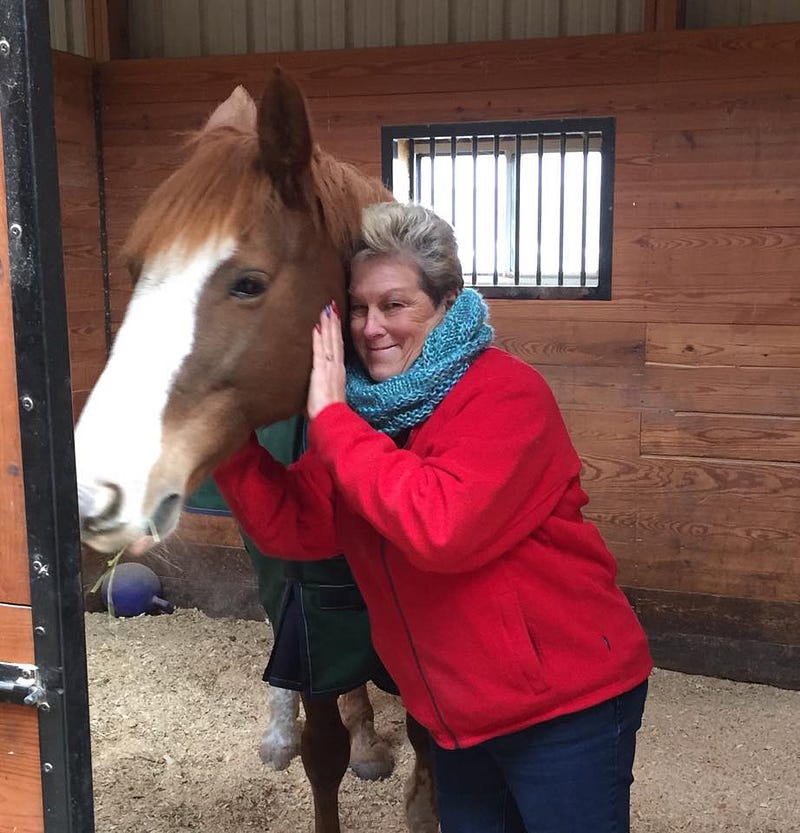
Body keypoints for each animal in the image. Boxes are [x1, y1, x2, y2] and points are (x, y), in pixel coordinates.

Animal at [74, 67, 438, 833]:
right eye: (136, 269)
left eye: (248, 283)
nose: (90, 488)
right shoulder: (312, 611)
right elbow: (322, 749)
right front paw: (322, 743)